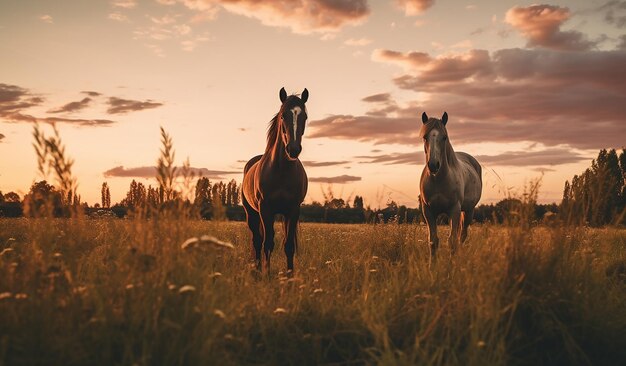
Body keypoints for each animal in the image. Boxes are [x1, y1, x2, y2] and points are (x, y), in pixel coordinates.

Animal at [240, 86, 308, 274]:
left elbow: (289, 245)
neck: (282, 171)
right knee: (257, 240)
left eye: (305, 117)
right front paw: (267, 274)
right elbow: (268, 244)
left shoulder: (293, 210)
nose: (293, 149)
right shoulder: (266, 209)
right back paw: (257, 269)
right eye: (283, 115)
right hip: (252, 214)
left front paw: (290, 276)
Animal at [420, 111, 482, 258]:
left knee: (462, 236)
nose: (433, 165)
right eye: (425, 137)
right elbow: (433, 241)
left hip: (468, 211)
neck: (438, 180)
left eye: (444, 137)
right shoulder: (428, 211)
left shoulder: (454, 210)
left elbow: (452, 241)